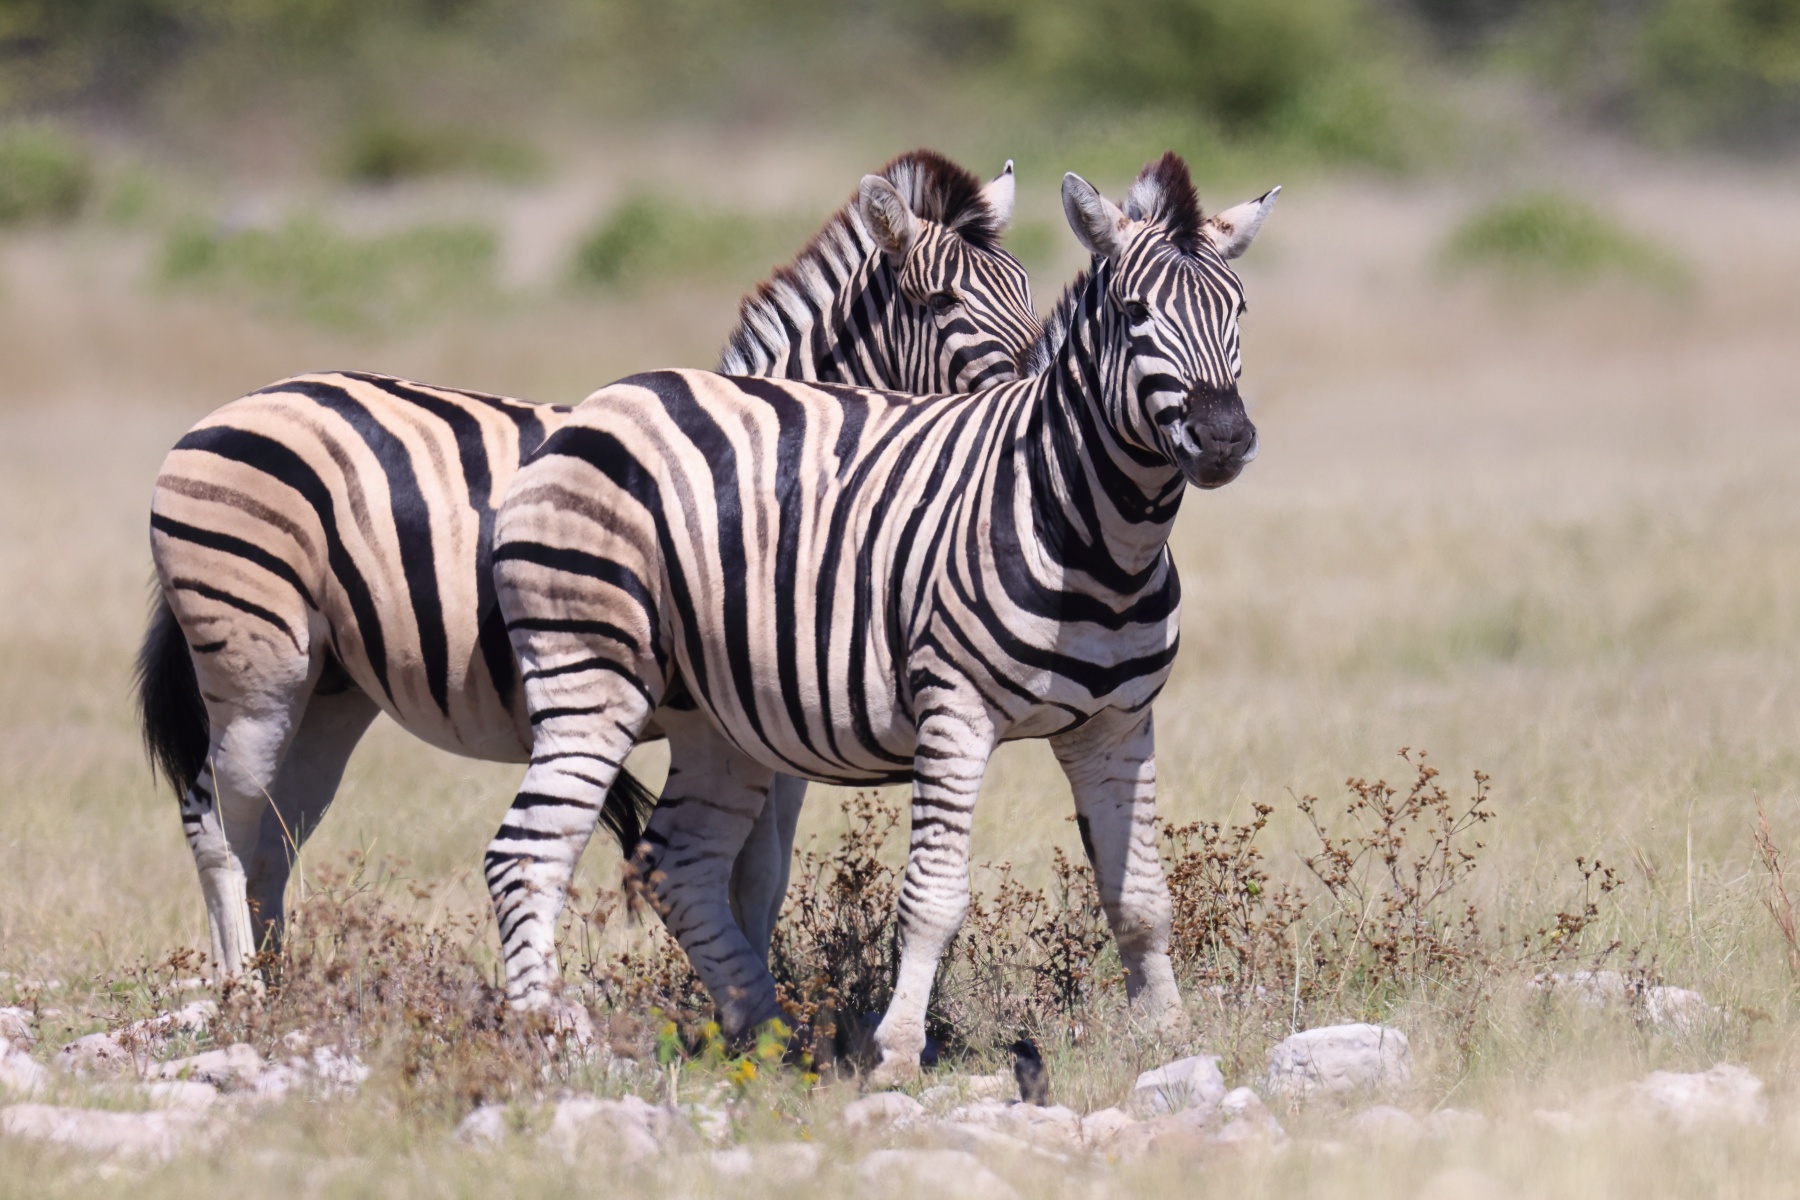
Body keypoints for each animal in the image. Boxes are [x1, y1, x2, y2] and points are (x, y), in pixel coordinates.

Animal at [135, 150, 1040, 994]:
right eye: (940, 304)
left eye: (1029, 291)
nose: (1035, 393)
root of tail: (234, 406)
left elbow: (761, 877)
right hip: (257, 663)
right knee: (216, 819)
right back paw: (242, 991)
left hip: (329, 690)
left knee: (274, 831)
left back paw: (282, 990)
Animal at [486, 151, 1277, 1079]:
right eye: (1133, 312)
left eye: (1239, 310)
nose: (1223, 437)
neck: (1095, 537)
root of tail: (604, 402)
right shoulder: (953, 712)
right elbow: (932, 896)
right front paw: (897, 1051)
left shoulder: (1115, 724)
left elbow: (1142, 894)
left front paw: (1169, 1036)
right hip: (592, 671)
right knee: (528, 855)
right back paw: (554, 1048)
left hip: (707, 718)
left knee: (668, 863)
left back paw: (757, 1026)